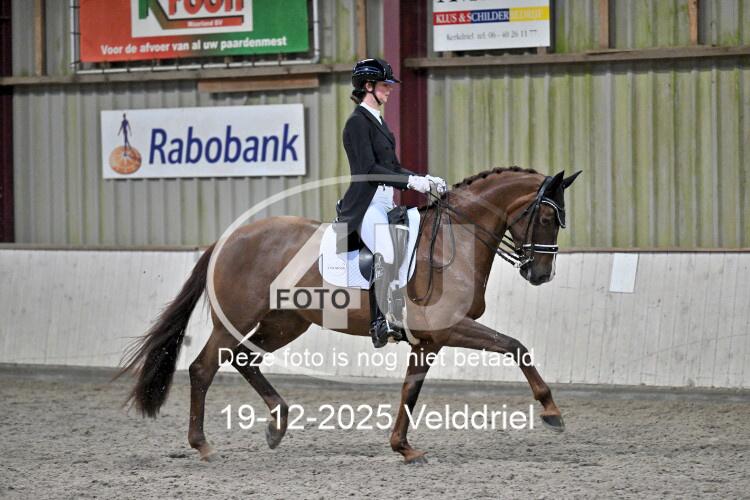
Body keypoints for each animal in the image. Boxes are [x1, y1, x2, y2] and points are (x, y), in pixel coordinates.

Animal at [119, 166, 582, 464]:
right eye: (546, 215)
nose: (540, 274)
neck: (456, 239)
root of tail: (229, 239)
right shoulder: (450, 327)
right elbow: (516, 347)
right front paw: (551, 411)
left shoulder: (429, 340)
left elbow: (410, 391)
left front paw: (403, 447)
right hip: (236, 319)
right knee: (204, 368)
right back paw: (203, 445)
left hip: (285, 322)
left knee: (245, 359)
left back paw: (277, 424)